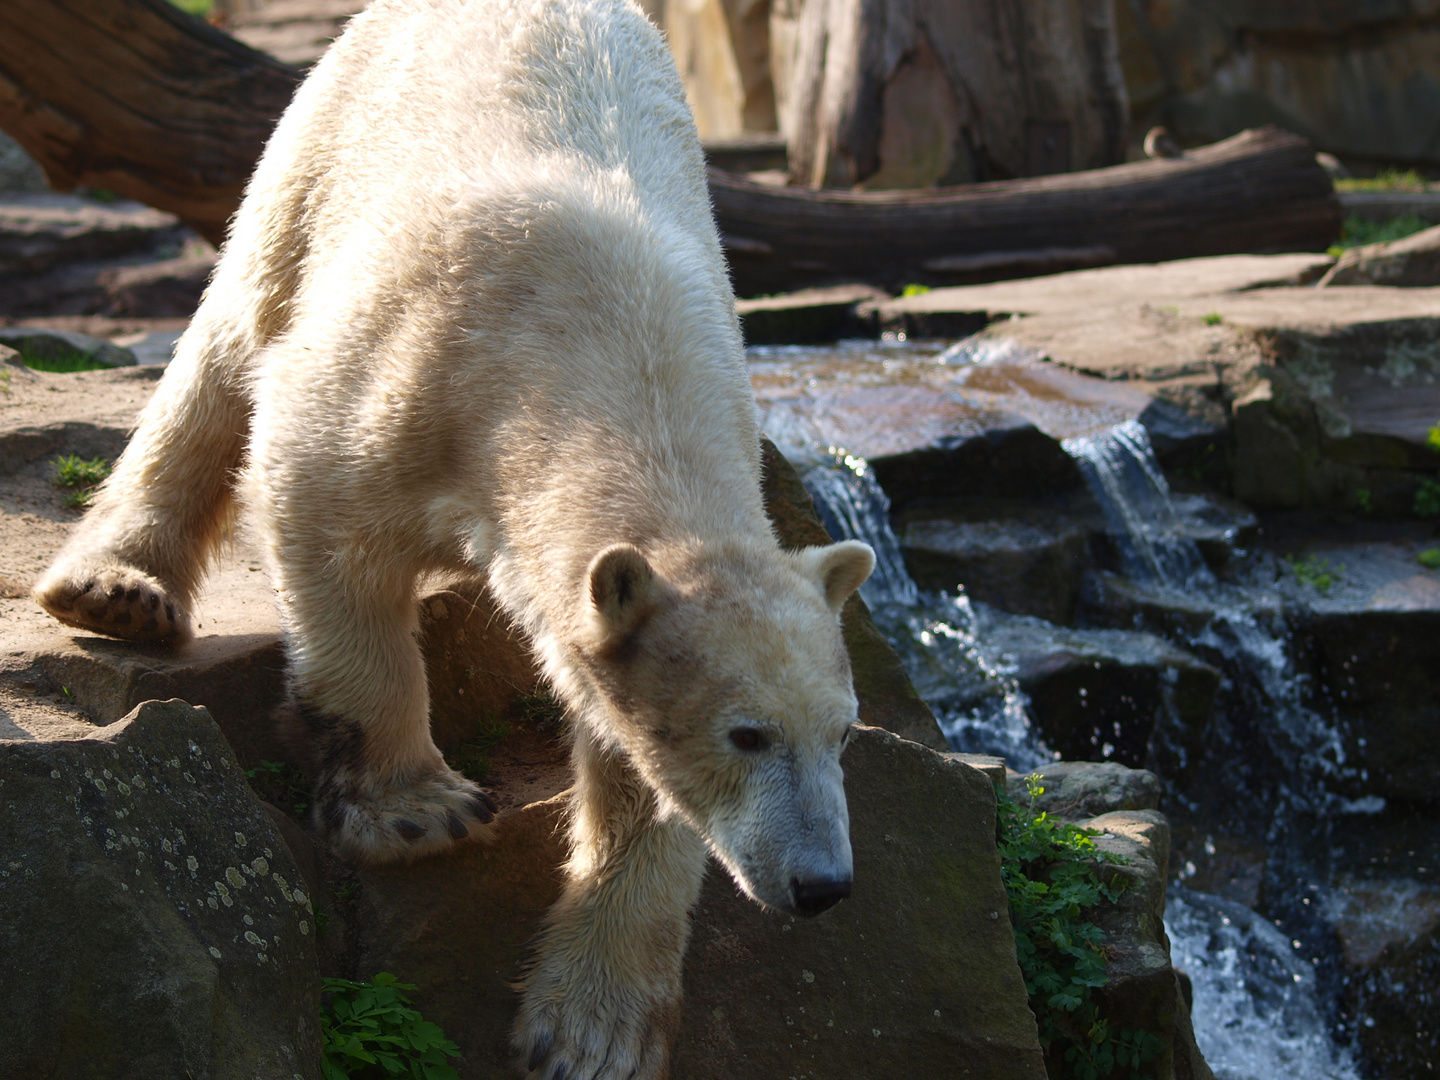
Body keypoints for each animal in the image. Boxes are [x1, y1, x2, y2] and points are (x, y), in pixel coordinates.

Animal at [30, 0, 875, 1077]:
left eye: (842, 731)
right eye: (748, 734)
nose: (822, 886)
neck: (611, 352)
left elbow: (635, 766)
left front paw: (593, 1028)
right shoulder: (414, 368)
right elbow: (314, 500)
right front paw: (416, 807)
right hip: (323, 136)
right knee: (231, 331)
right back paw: (114, 588)